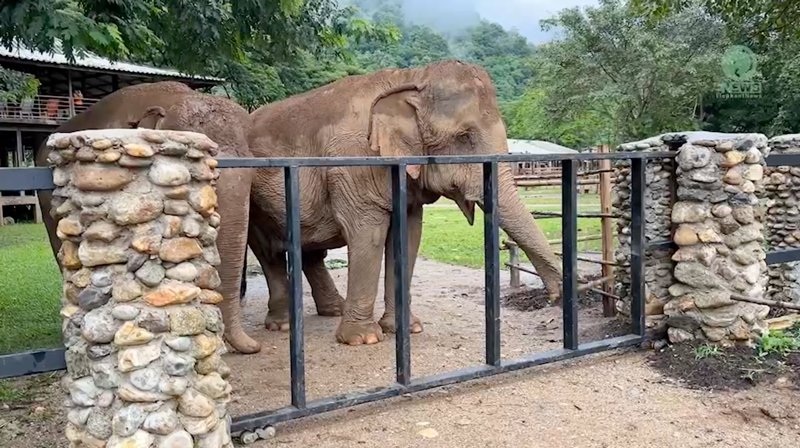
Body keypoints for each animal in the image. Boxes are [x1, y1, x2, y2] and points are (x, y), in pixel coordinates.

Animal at [247, 59, 564, 346]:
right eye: (464, 137)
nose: (554, 298)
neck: (410, 78)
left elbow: (409, 236)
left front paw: (408, 329)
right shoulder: (354, 167)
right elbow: (369, 233)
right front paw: (363, 339)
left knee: (309, 249)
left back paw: (333, 310)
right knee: (268, 252)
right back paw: (283, 324)